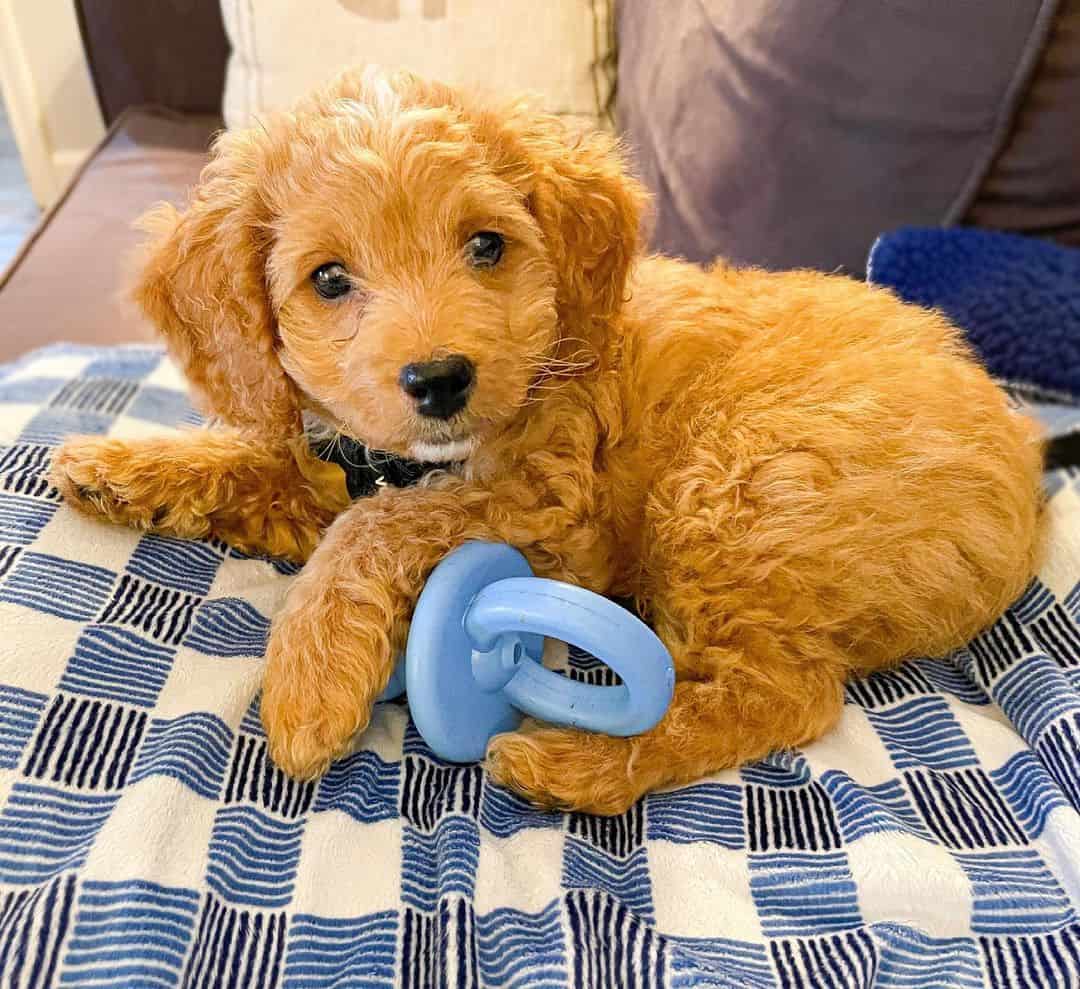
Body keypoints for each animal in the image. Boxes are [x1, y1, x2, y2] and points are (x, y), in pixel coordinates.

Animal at [52, 67, 1045, 811]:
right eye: (328, 278)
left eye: (487, 245)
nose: (440, 378)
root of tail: (1024, 456)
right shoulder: (343, 463)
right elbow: (275, 465)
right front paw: (120, 463)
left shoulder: (552, 516)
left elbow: (374, 528)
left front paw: (308, 679)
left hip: (736, 483)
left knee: (783, 692)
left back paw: (573, 764)